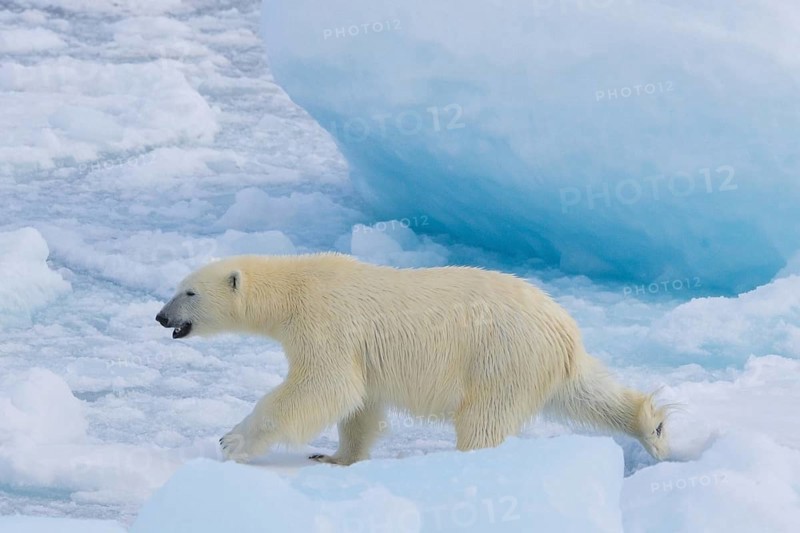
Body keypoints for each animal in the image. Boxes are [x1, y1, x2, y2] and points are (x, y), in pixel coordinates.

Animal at [155, 253, 669, 464]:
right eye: (177, 287)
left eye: (189, 292)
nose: (161, 317)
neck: (296, 287)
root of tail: (563, 330)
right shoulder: (358, 349)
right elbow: (359, 402)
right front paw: (333, 457)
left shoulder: (327, 322)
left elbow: (323, 386)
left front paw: (232, 440)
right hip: (542, 363)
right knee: (587, 393)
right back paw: (653, 427)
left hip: (500, 357)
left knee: (484, 418)